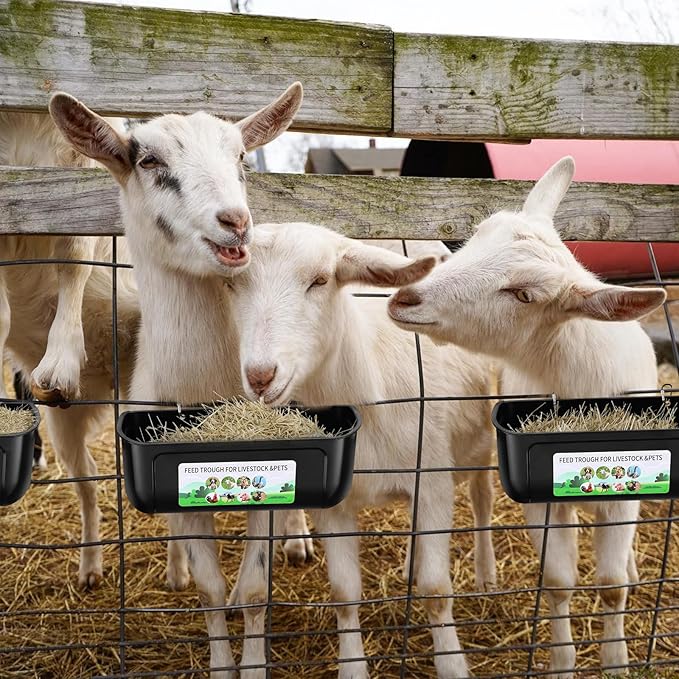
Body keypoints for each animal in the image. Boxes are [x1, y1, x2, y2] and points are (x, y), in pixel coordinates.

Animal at [49, 84, 310, 679]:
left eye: (241, 158)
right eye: (148, 161)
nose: (235, 221)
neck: (207, 385)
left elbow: (255, 588)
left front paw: (252, 663)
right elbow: (210, 589)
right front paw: (221, 660)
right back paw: (175, 569)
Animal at [226, 221, 496, 679]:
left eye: (320, 281)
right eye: (230, 284)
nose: (261, 376)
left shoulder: (433, 483)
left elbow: (436, 589)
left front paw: (452, 664)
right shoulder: (337, 506)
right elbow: (344, 592)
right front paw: (352, 666)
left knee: (482, 496)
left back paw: (486, 572)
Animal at [388, 156, 667, 678]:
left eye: (523, 295)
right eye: (478, 233)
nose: (405, 299)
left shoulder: (624, 494)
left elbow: (611, 586)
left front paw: (616, 661)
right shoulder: (540, 500)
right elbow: (557, 581)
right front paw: (561, 660)